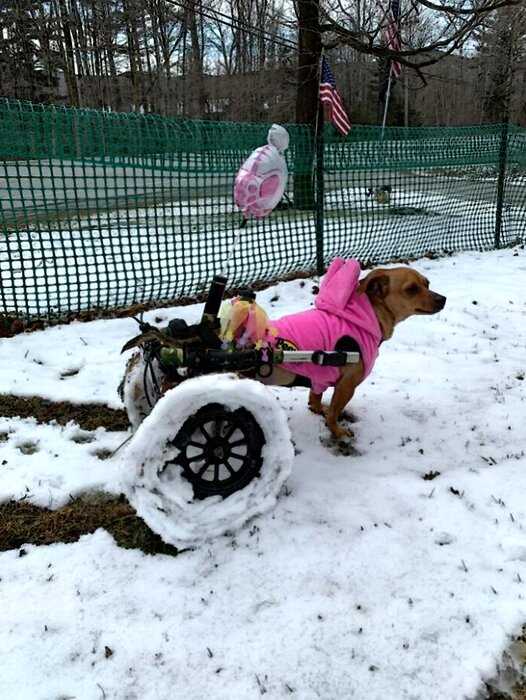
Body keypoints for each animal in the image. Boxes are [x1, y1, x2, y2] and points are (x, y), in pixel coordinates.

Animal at [262, 266, 448, 438]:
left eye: (427, 283)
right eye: (411, 289)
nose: (443, 299)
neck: (369, 316)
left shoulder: (319, 379)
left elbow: (315, 399)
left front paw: (319, 409)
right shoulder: (346, 386)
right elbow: (333, 414)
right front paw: (338, 432)